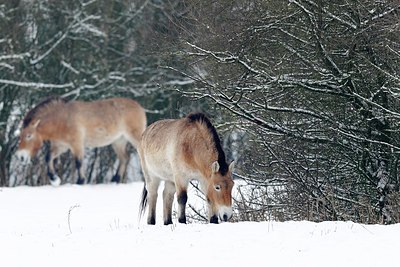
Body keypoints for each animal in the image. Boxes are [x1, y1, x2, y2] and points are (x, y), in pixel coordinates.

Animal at [16, 97, 147, 186]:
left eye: (28, 135)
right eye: (20, 136)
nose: (21, 156)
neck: (62, 119)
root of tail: (140, 107)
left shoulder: (77, 144)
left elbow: (78, 162)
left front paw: (80, 181)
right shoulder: (61, 146)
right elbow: (48, 158)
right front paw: (54, 179)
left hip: (134, 138)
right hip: (118, 141)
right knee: (124, 158)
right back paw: (115, 180)